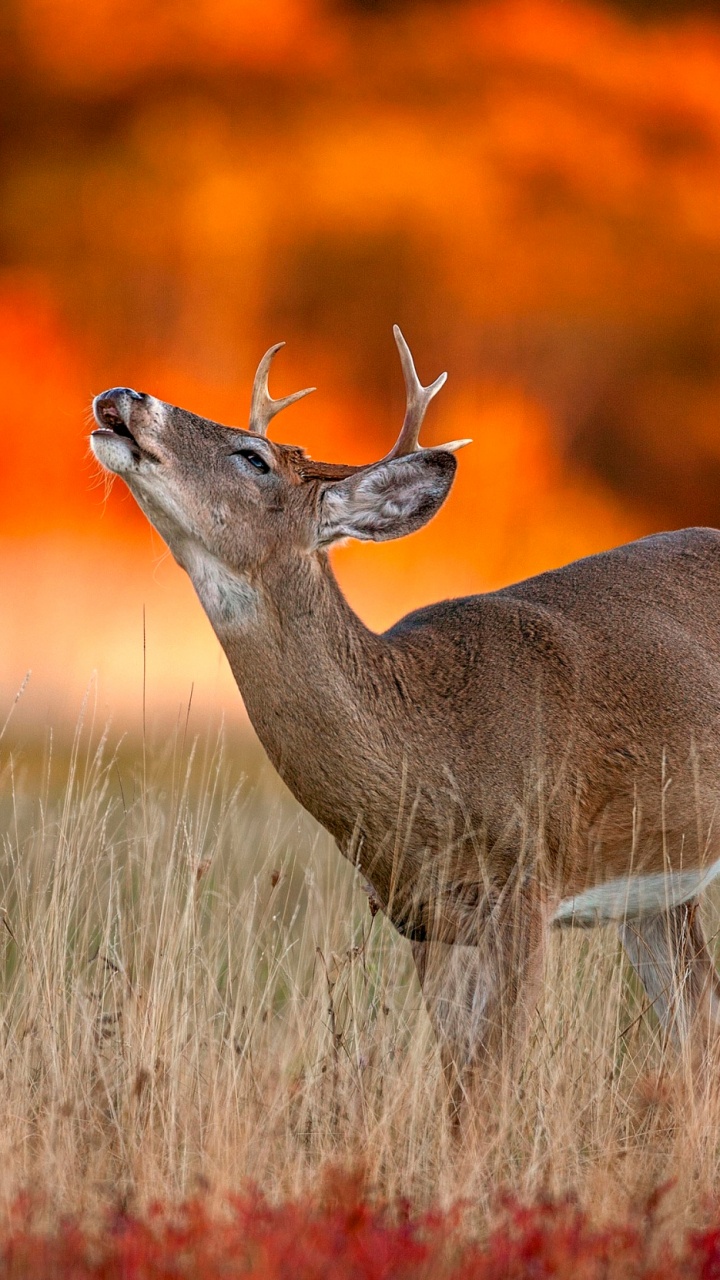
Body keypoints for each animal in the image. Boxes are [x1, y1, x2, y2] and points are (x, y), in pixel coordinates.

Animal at [90, 327, 720, 1097]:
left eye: (254, 457)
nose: (124, 395)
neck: (425, 746)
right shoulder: (422, 919)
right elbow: (459, 1085)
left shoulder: (528, 885)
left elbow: (487, 1088)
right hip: (659, 889)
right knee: (697, 1023)